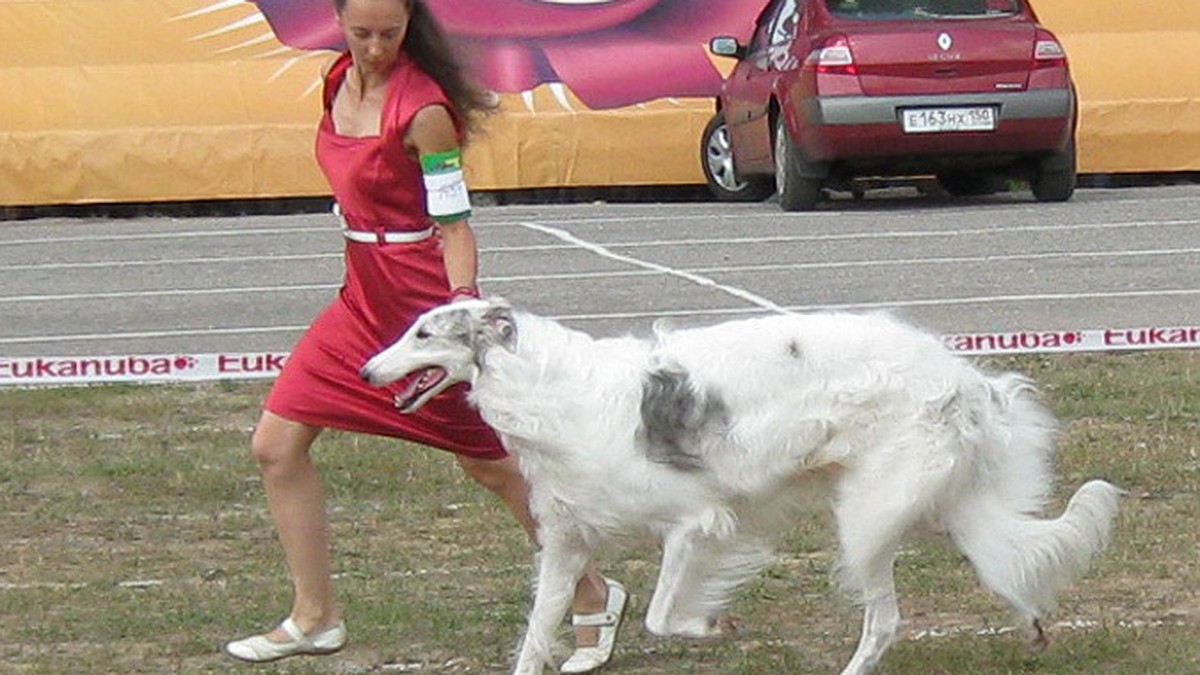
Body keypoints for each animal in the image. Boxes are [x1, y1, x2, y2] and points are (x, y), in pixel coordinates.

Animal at [360, 299, 1118, 672]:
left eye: (423, 332)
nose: (367, 371)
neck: (549, 390)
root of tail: (963, 375)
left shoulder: (699, 521)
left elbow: (662, 614)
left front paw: (711, 624)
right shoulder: (566, 542)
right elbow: (534, 638)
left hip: (867, 517)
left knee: (885, 620)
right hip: (932, 505)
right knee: (1008, 562)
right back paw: (1034, 622)